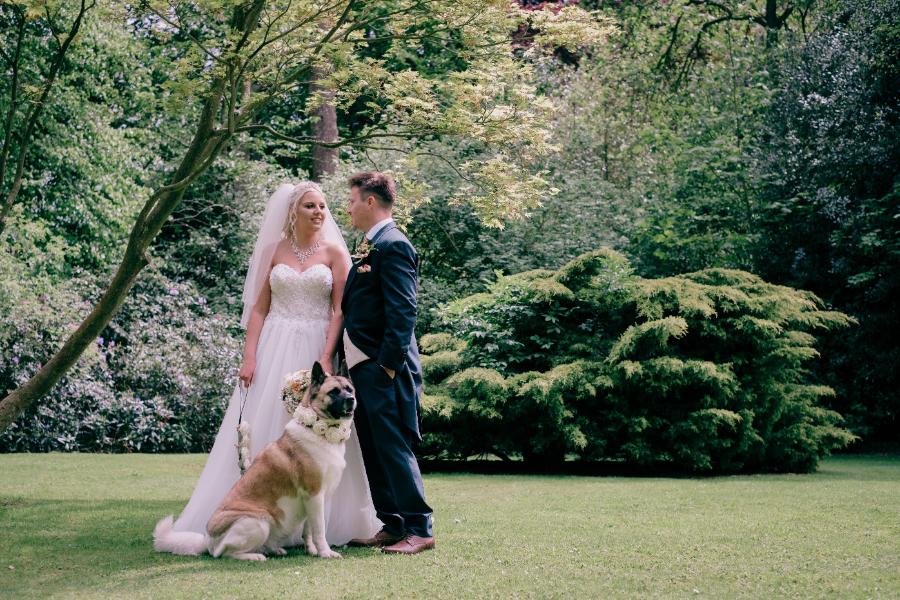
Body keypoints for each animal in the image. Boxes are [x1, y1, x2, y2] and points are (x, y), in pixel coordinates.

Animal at [155, 360, 356, 564]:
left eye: (349, 389)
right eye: (333, 392)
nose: (351, 399)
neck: (317, 431)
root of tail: (207, 539)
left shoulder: (314, 500)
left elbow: (309, 530)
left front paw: (312, 551)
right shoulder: (314, 495)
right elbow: (320, 530)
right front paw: (325, 552)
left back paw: (274, 550)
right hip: (258, 523)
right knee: (223, 552)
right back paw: (255, 556)